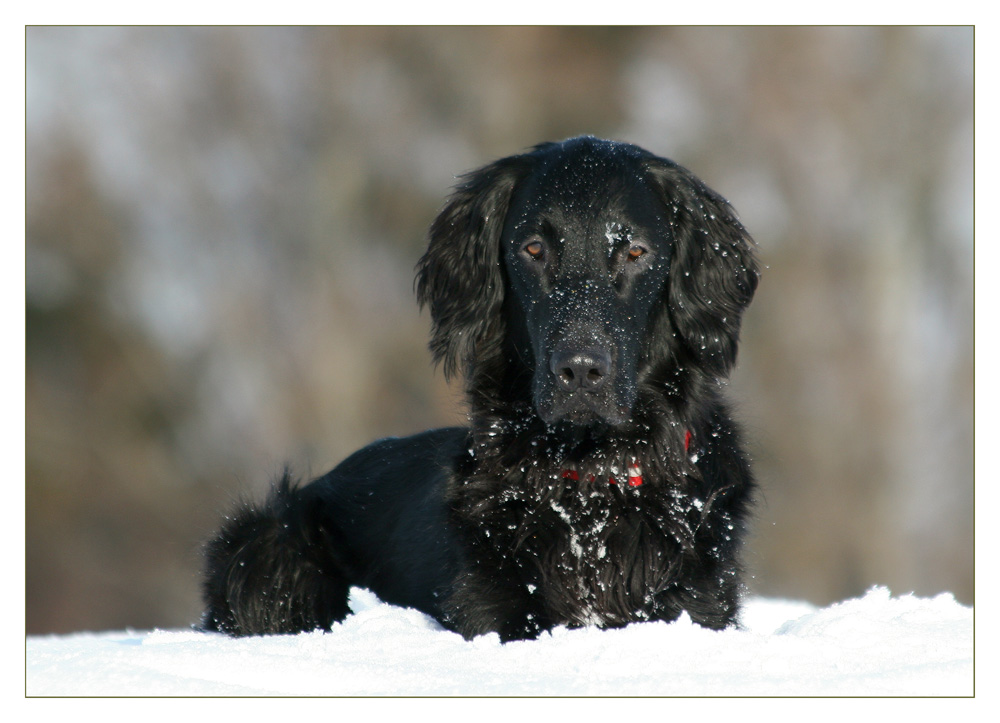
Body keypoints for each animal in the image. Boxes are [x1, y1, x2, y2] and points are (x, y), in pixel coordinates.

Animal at [203, 139, 756, 640]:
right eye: (533, 249)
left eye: (635, 250)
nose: (580, 371)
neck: (588, 486)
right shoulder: (487, 610)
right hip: (268, 547)